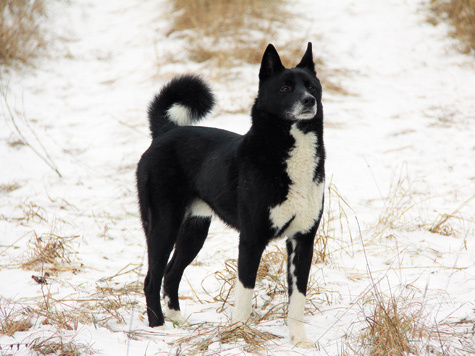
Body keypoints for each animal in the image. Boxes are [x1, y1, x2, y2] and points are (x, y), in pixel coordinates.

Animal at [136, 42, 326, 348]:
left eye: (311, 86)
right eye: (285, 88)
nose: (309, 100)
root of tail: (166, 131)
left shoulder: (303, 240)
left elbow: (298, 299)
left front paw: (300, 341)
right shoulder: (250, 239)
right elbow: (245, 292)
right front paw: (239, 334)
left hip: (194, 231)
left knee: (170, 274)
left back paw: (178, 322)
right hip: (163, 225)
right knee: (151, 280)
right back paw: (158, 328)